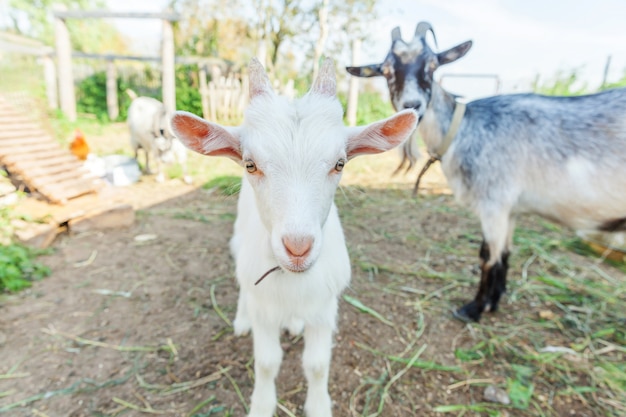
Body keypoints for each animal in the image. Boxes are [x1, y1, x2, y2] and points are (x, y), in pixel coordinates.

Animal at [344, 22, 624, 322]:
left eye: (432, 65)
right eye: (386, 70)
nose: (413, 104)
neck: (462, 131)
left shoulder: (494, 203)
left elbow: (487, 256)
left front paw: (474, 309)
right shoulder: (510, 209)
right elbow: (504, 255)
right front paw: (494, 300)